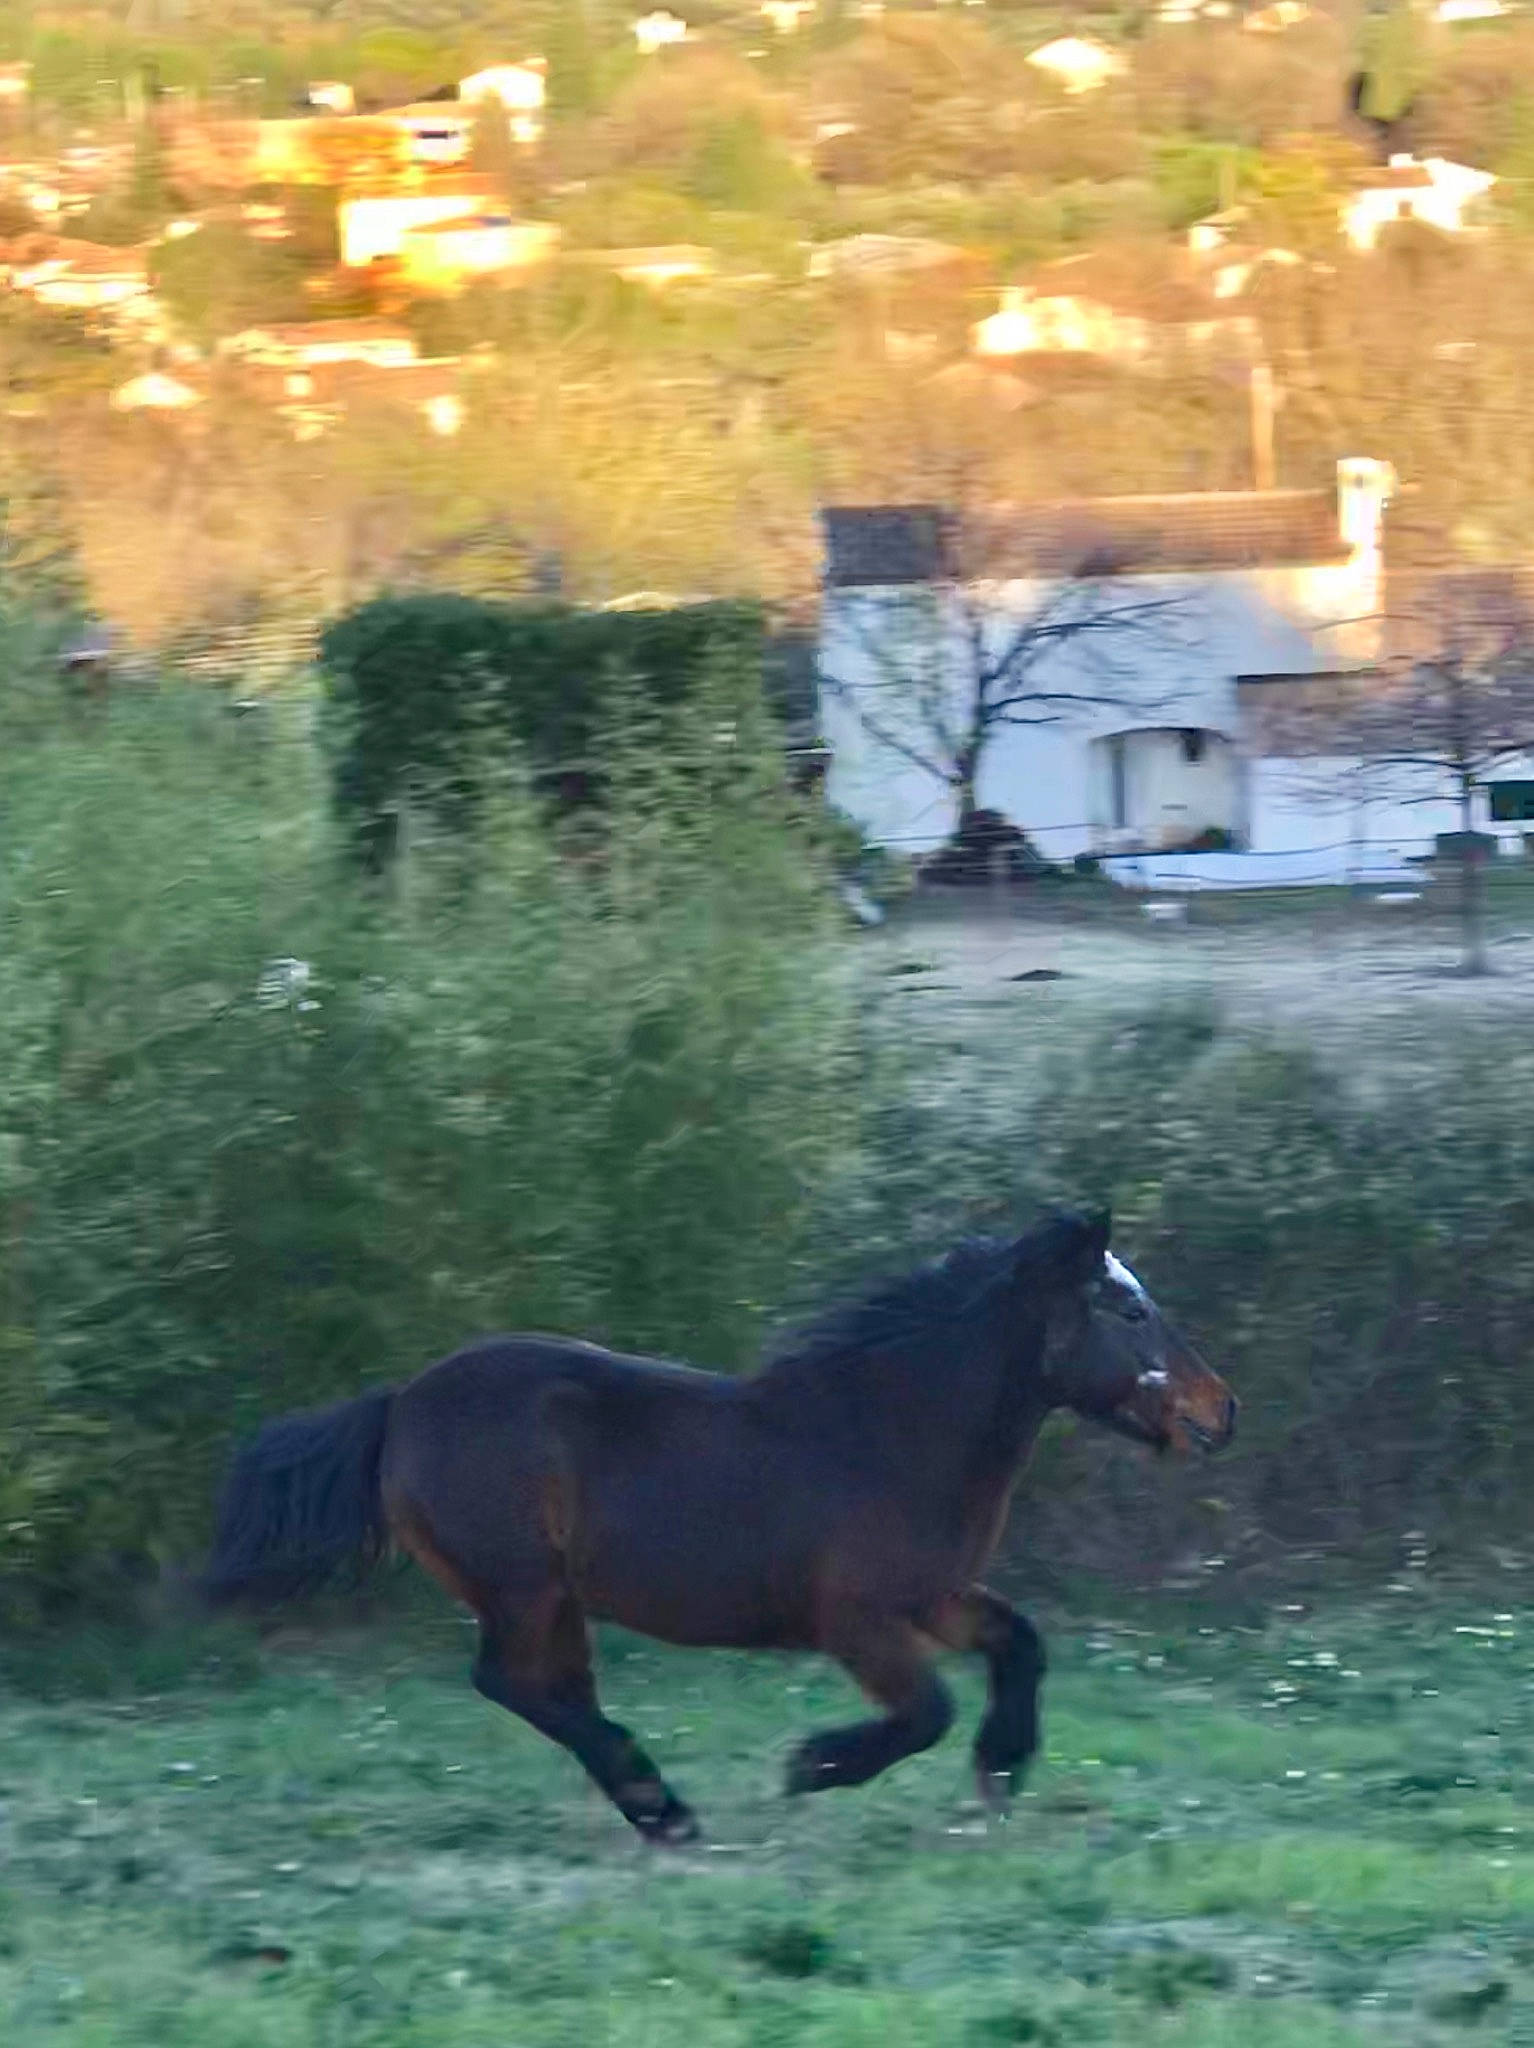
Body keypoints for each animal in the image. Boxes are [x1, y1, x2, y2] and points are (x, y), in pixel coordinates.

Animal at [205, 1208, 1235, 1844]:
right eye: (1130, 1308)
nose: (1221, 1411)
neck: (892, 1431)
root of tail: (401, 1406)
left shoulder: (934, 1597)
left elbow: (1022, 1644)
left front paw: (1001, 1768)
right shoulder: (854, 1619)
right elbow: (926, 1712)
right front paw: (815, 1767)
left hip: (557, 1598)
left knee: (555, 1691)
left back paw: (653, 1805)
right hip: (519, 1586)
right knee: (510, 1682)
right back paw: (660, 1803)